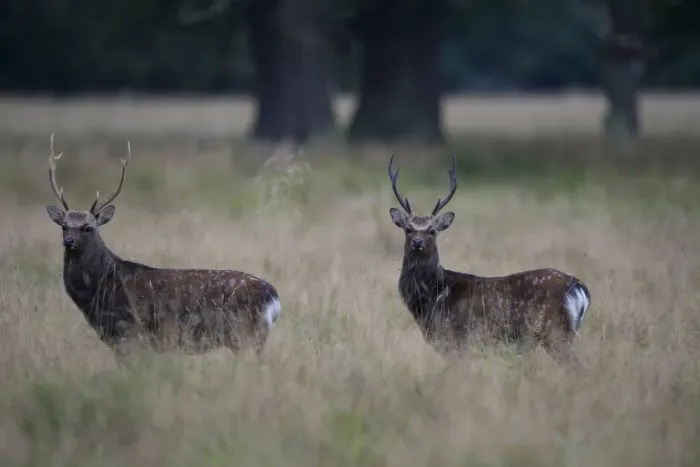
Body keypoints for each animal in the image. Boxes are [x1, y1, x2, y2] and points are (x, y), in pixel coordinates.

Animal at [44, 134, 281, 364]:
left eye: (87, 227)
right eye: (64, 225)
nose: (68, 241)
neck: (102, 288)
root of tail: (274, 298)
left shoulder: (130, 333)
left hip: (246, 335)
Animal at [387, 154, 591, 369]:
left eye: (432, 230)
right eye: (408, 229)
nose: (417, 242)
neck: (432, 297)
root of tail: (579, 287)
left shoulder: (456, 339)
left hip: (556, 333)